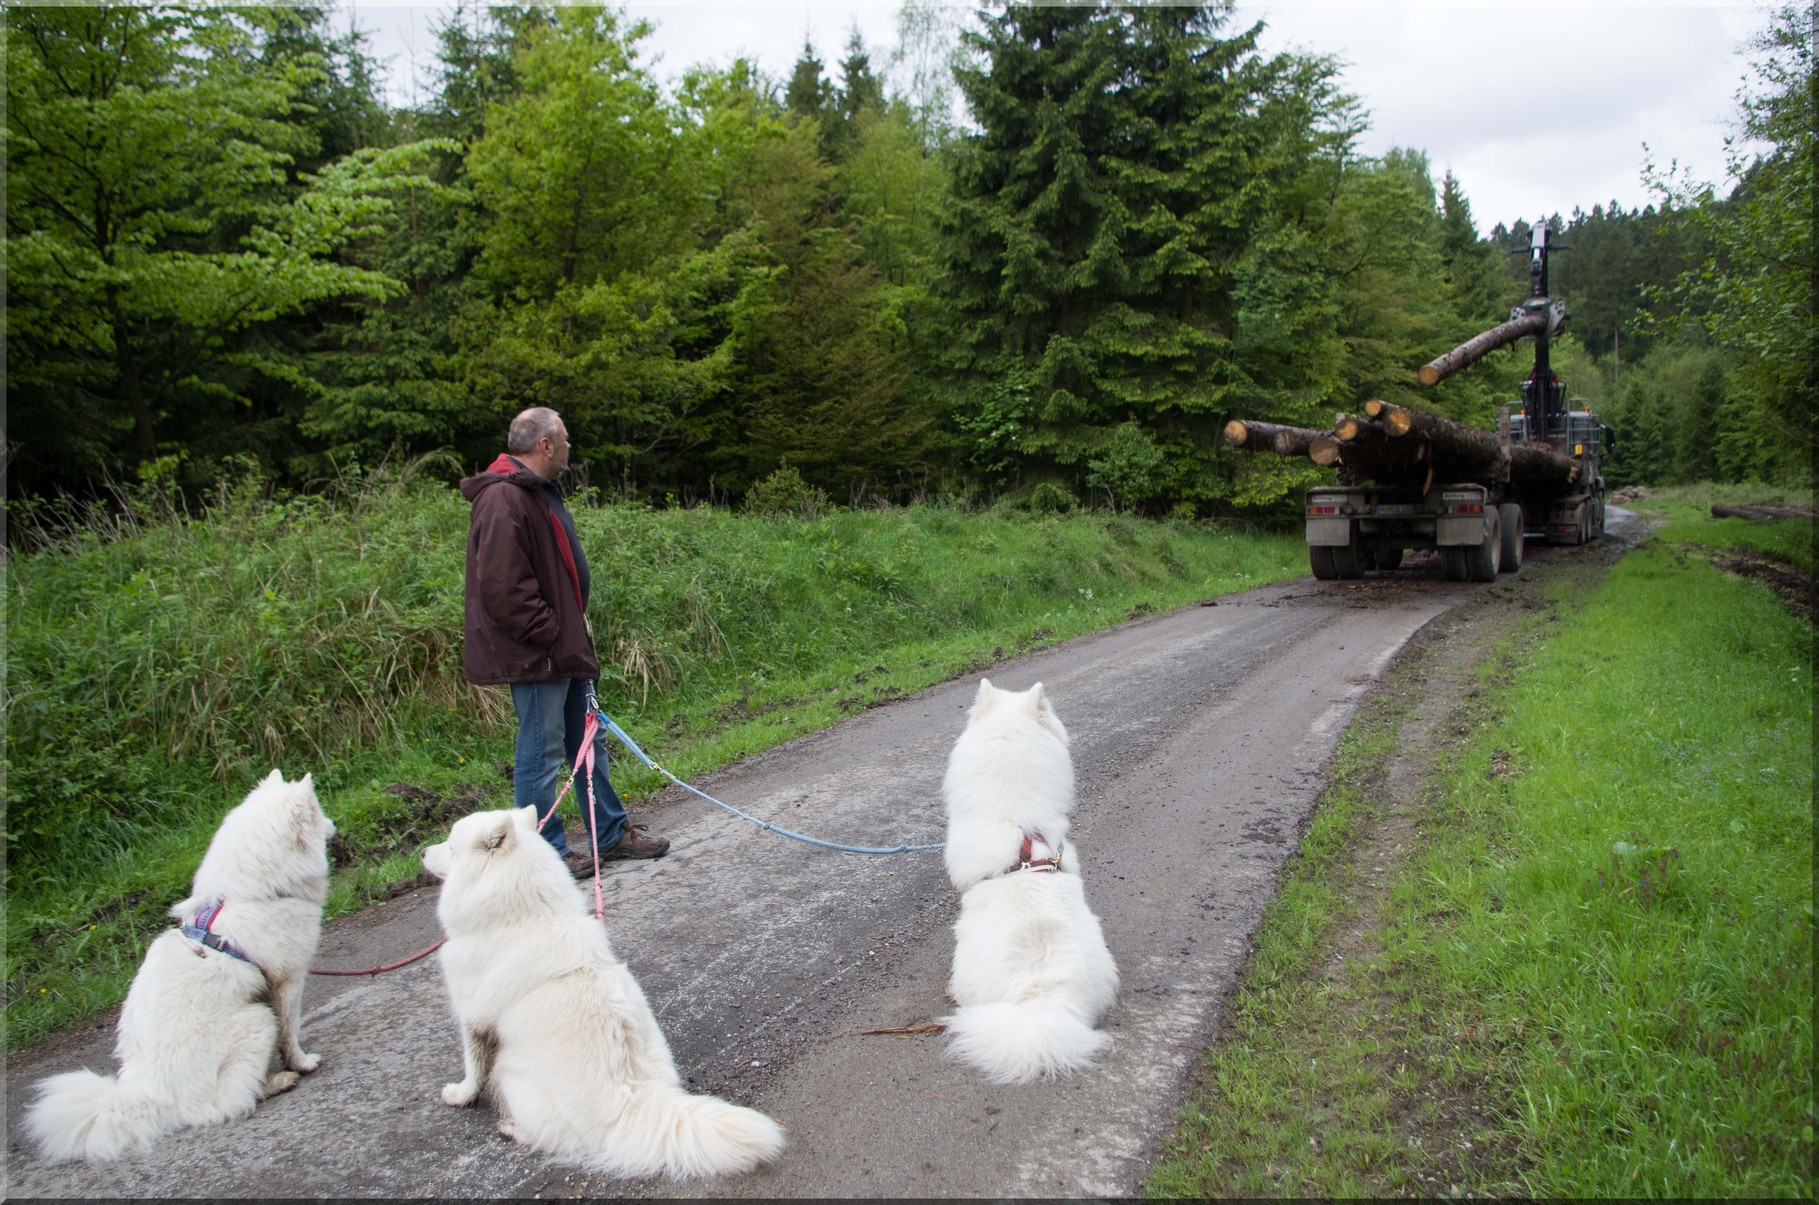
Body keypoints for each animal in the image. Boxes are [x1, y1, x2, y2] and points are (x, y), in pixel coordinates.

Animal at [25, 775, 338, 1164]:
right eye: (320, 815)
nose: (335, 825)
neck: (252, 896)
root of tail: (153, 1096)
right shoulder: (288, 980)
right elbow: (289, 1031)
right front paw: (301, 1063)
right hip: (255, 1021)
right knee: (221, 1105)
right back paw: (273, 1084)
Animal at [422, 808, 785, 1186]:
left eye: (450, 846)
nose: (421, 853)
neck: (526, 917)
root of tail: (630, 1100)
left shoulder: (472, 1017)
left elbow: (474, 1068)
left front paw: (458, 1096)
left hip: (512, 1074)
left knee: (556, 1138)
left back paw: (512, 1128)